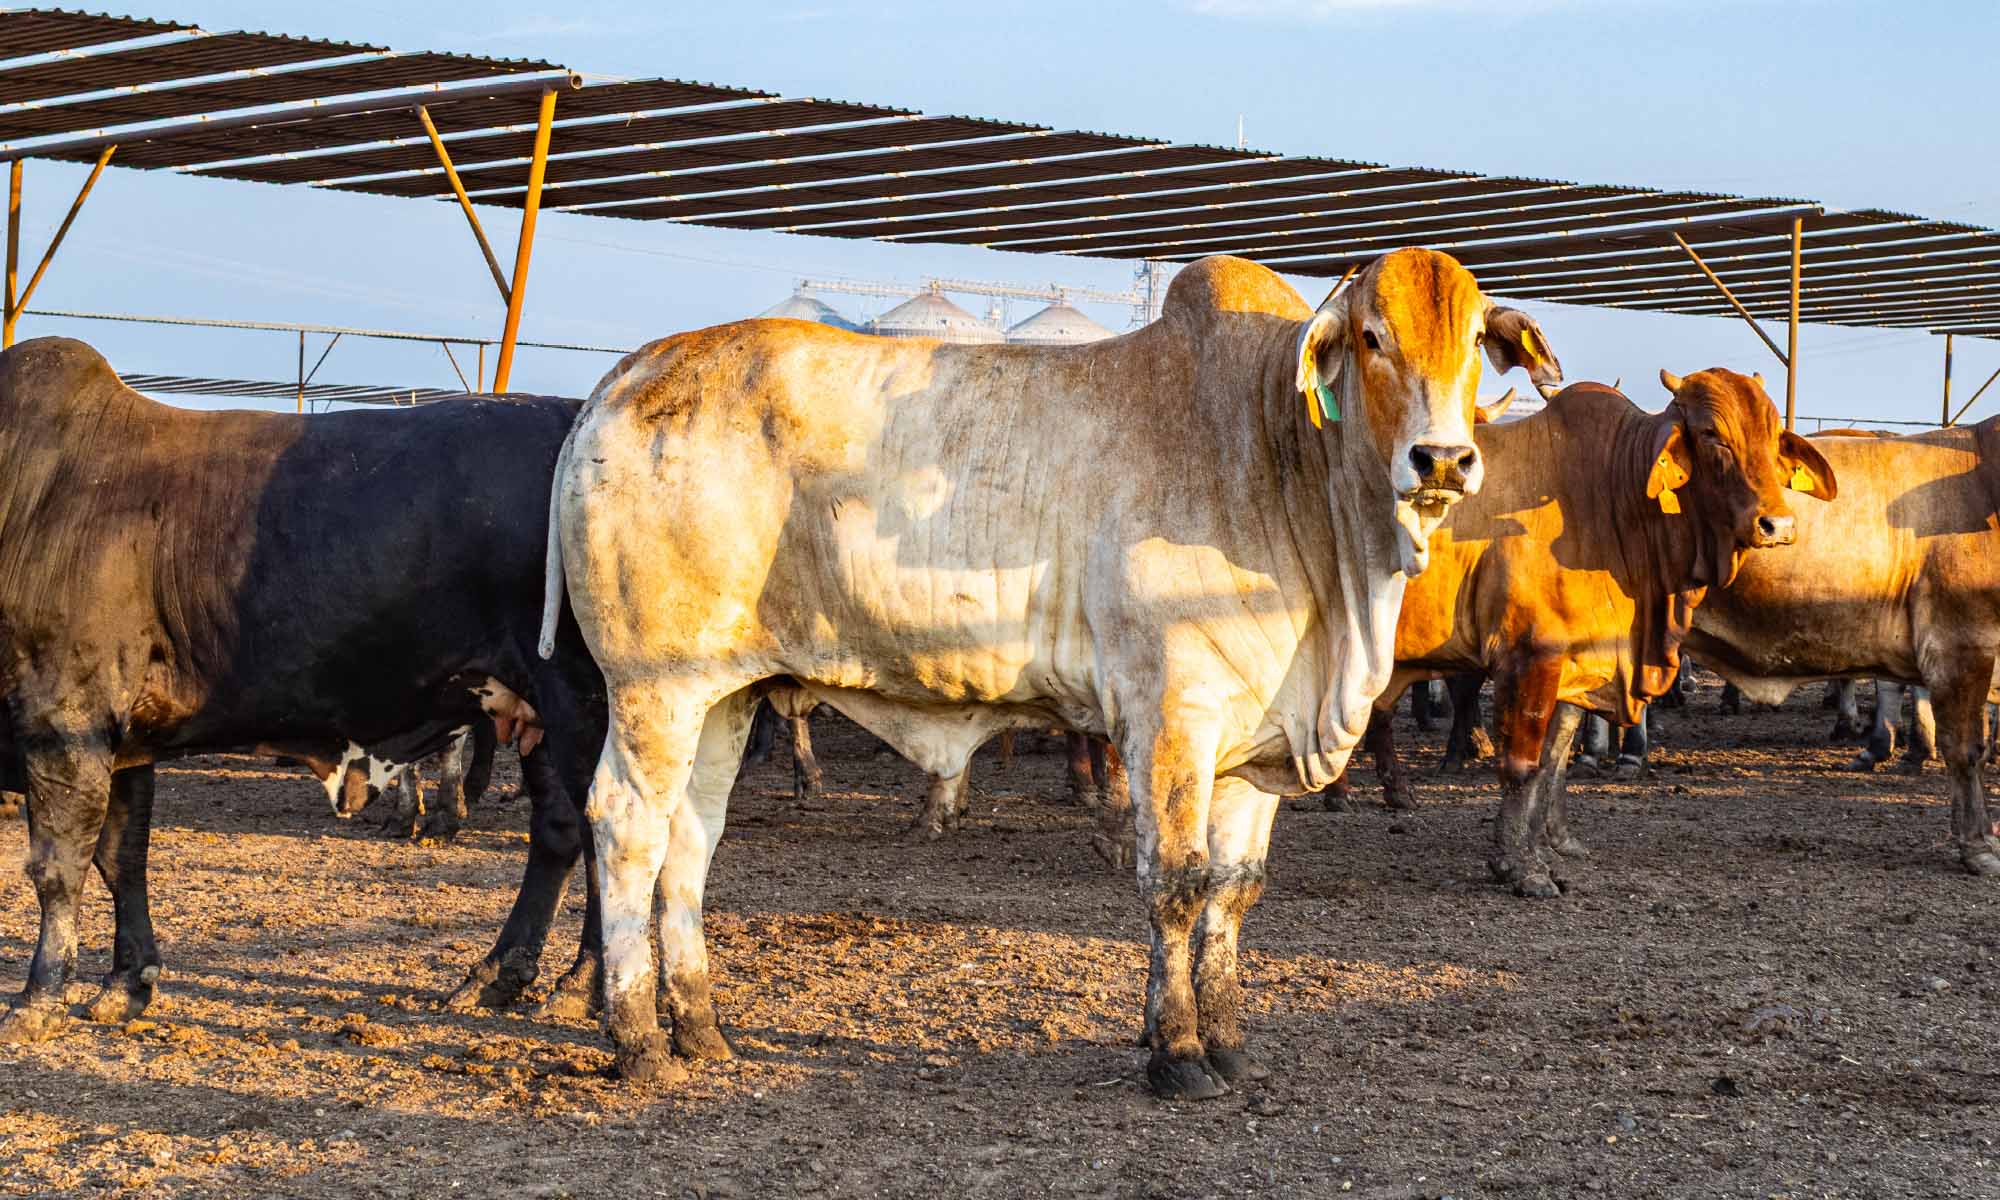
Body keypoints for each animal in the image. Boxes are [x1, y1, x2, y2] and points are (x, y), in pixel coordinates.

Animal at [0, 338, 607, 1045]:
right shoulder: (123, 737)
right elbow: (122, 857)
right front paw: (126, 984)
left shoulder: (64, 717)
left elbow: (58, 865)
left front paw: (37, 998)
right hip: (536, 712)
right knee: (560, 829)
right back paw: (496, 976)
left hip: (586, 705)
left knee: (612, 834)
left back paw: (581, 986)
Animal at [538, 248, 1560, 1099]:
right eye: (1373, 337)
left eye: (1475, 342)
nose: (1443, 458)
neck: (1282, 460)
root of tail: (624, 377)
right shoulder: (1170, 714)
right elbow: (1177, 883)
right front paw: (1177, 1054)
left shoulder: (1251, 742)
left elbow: (1234, 891)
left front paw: (1231, 1044)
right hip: (654, 684)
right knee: (626, 826)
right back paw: (639, 1043)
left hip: (726, 693)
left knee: (690, 839)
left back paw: (701, 1030)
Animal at [1331, 371, 1836, 896]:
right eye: (1712, 433)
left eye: (1774, 436)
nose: (1777, 524)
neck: (1612, 495)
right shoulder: (1531, 656)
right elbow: (1523, 765)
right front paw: (1520, 867)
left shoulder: (1579, 663)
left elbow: (1553, 762)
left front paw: (1549, 847)